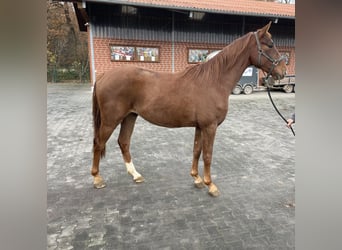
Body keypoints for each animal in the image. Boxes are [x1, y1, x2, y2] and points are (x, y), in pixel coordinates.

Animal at [90, 22, 286, 197]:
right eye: (270, 45)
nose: (283, 71)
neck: (214, 81)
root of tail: (103, 76)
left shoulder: (200, 126)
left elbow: (196, 151)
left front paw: (197, 179)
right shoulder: (209, 126)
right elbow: (208, 155)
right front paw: (210, 185)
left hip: (130, 116)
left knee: (123, 142)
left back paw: (136, 175)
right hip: (111, 120)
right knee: (98, 143)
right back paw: (97, 179)